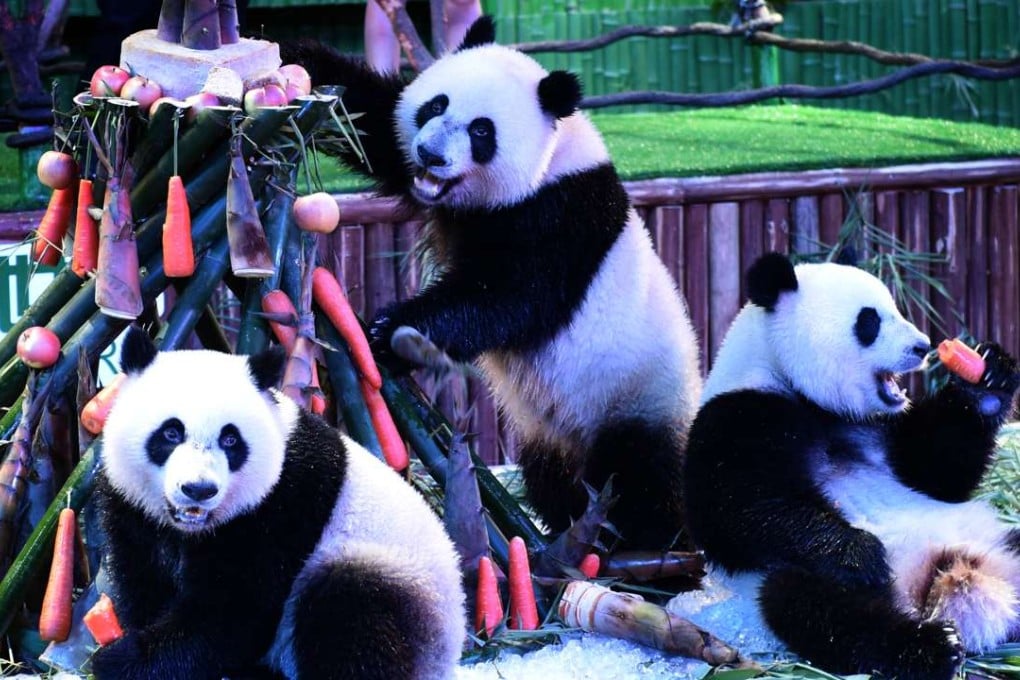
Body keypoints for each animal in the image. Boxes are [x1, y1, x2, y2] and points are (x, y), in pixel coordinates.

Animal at [90, 328, 465, 680]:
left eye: (230, 439)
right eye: (171, 433)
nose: (199, 489)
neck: (191, 529)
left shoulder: (281, 504)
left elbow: (233, 611)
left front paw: (121, 659)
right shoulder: (133, 509)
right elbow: (144, 581)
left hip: (395, 579)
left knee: (352, 616)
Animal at [282, 17, 703, 550]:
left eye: (482, 130)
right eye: (436, 105)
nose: (430, 154)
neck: (556, 154)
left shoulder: (561, 215)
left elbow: (510, 297)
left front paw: (389, 332)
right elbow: (369, 117)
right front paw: (283, 57)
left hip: (638, 396)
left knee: (640, 476)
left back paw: (650, 543)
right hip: (551, 433)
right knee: (551, 476)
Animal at [683, 252, 1020, 680]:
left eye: (896, 307)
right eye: (869, 321)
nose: (923, 346)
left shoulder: (878, 429)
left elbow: (937, 471)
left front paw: (987, 381)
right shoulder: (738, 416)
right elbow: (741, 507)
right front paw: (861, 552)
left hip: (994, 535)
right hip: (803, 578)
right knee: (818, 607)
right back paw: (932, 645)